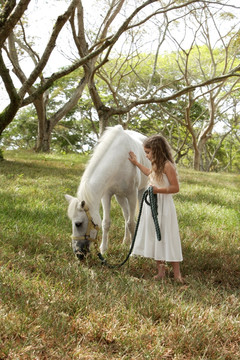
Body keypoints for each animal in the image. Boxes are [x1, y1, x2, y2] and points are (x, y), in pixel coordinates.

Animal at [64, 126, 149, 258]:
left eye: (78, 223)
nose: (78, 254)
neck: (119, 160)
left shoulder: (132, 194)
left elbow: (132, 223)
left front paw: (133, 252)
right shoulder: (106, 195)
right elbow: (106, 223)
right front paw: (103, 249)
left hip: (140, 192)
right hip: (120, 197)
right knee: (126, 216)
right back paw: (125, 241)